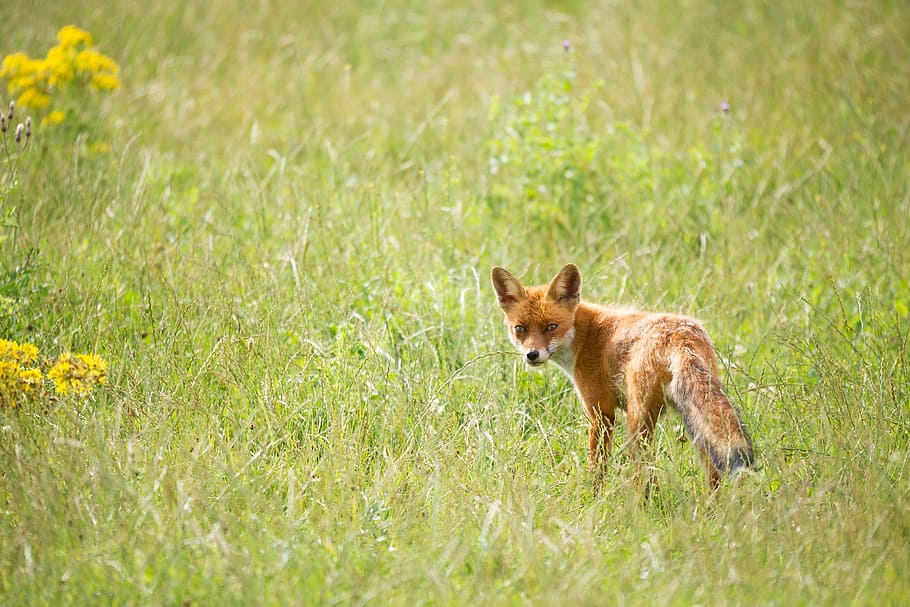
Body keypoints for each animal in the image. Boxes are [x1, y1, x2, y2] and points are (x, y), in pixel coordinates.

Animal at [491, 263, 754, 488]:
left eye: (552, 327)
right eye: (520, 328)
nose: (532, 355)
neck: (585, 337)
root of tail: (681, 336)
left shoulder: (601, 413)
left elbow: (597, 468)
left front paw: (592, 498)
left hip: (638, 421)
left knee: (645, 474)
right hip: (696, 421)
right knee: (713, 473)